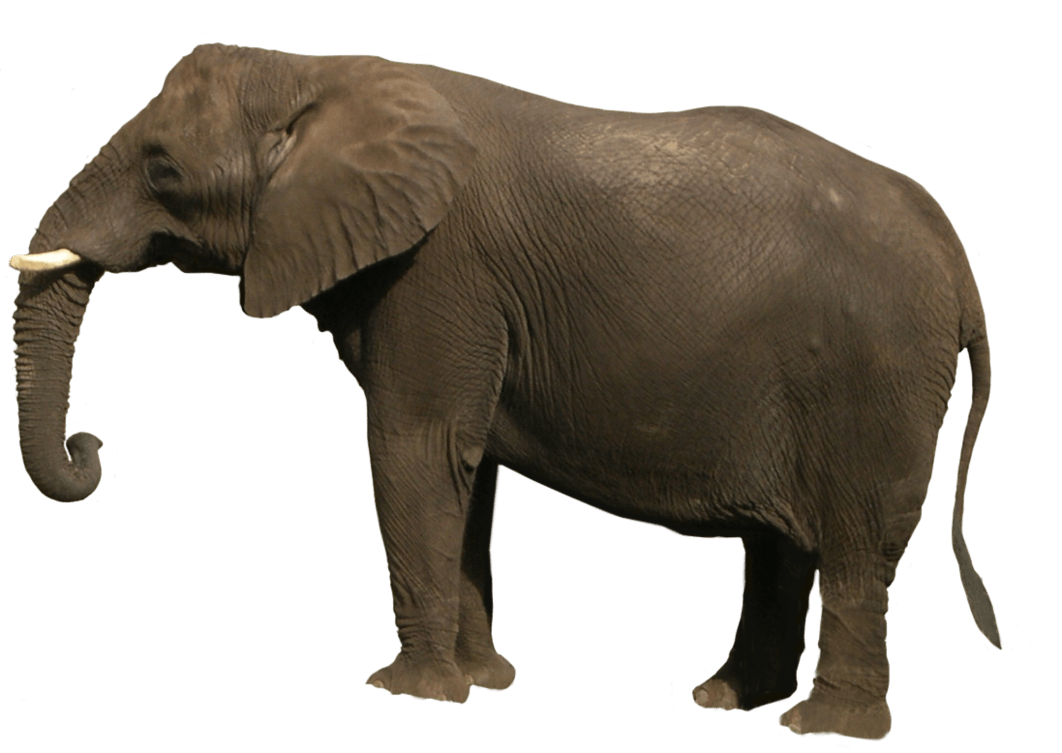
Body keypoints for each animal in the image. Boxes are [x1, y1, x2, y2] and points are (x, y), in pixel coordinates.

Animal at [10, 44, 1001, 740]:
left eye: (163, 170)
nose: (93, 446)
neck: (321, 73)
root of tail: (956, 257)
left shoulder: (438, 273)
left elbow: (410, 449)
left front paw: (411, 695)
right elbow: (468, 467)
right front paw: (485, 683)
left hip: (877, 376)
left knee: (857, 550)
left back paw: (823, 728)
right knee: (785, 545)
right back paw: (727, 700)